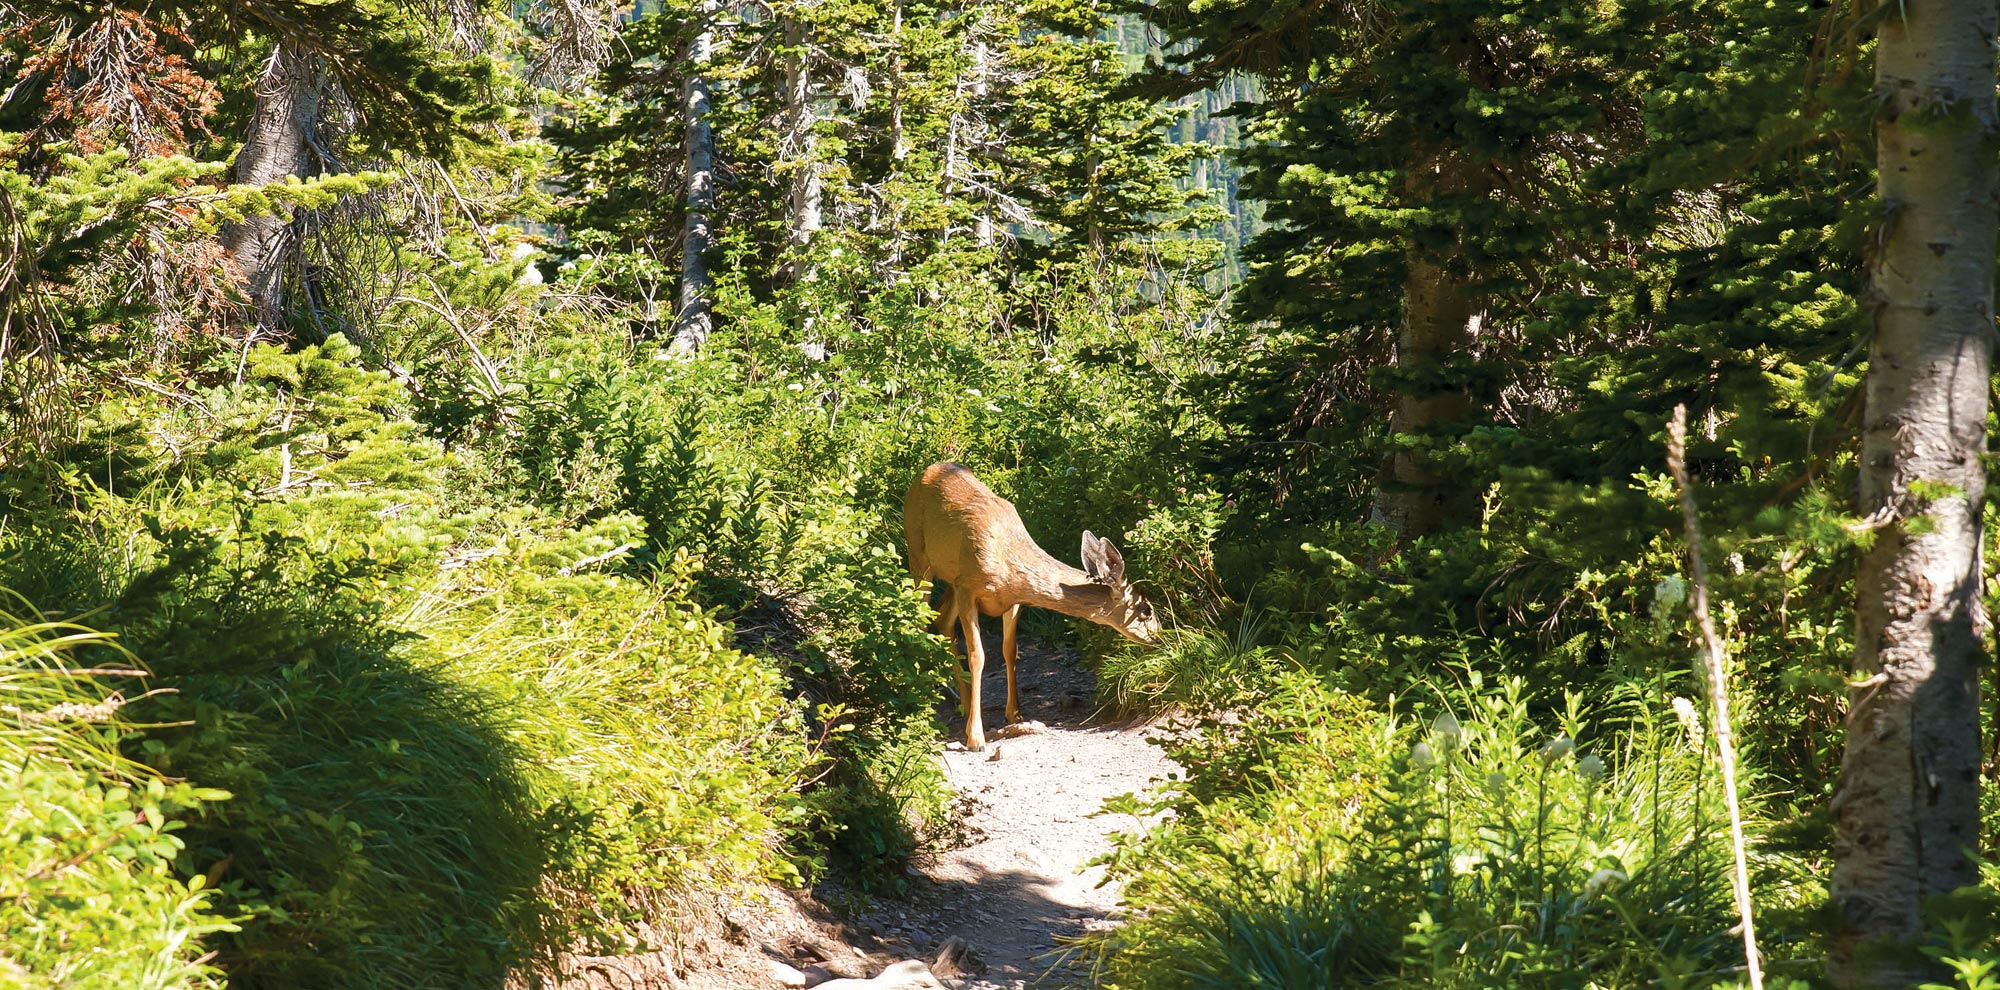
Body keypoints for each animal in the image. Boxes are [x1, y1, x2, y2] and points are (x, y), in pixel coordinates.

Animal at [904, 464, 1168, 752]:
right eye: (1146, 610)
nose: (1162, 637)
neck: (1007, 559)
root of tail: (925, 472)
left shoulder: (1013, 599)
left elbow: (1010, 650)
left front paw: (1015, 714)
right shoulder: (968, 589)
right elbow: (977, 656)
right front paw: (976, 738)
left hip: (951, 577)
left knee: (941, 620)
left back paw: (962, 705)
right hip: (919, 556)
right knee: (920, 620)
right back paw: (925, 705)